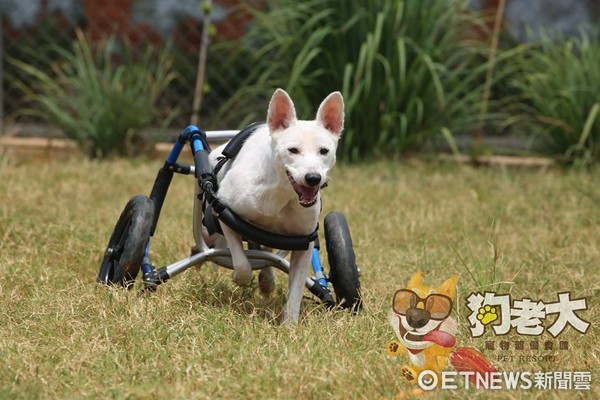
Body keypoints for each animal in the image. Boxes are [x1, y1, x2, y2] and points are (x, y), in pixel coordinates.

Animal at [209, 89, 344, 324]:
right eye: (293, 150)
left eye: (324, 151)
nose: (313, 178)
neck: (283, 193)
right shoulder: (224, 209)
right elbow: (242, 264)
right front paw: (238, 277)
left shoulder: (304, 243)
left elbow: (296, 290)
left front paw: (289, 325)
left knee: (267, 252)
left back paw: (266, 280)